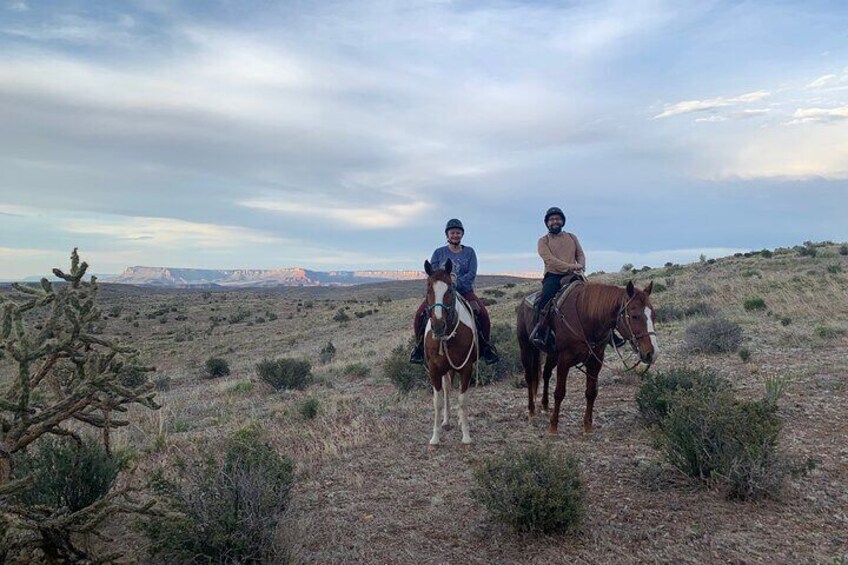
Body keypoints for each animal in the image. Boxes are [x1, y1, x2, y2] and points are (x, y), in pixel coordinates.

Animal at [422, 256, 476, 446]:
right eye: (428, 288)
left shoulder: (466, 367)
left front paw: (466, 435)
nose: (438, 326)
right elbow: (437, 401)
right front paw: (435, 437)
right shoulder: (434, 369)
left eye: (451, 289)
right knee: (446, 389)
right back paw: (446, 420)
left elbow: (463, 399)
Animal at [512, 280, 660, 432]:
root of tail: (524, 302)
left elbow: (591, 392)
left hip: (552, 355)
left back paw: (545, 405)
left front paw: (587, 426)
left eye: (653, 315)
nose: (652, 353)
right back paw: (531, 411)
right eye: (635, 315)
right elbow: (559, 392)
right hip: (526, 349)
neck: (587, 318)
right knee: (530, 377)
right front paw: (553, 427)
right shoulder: (564, 360)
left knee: (546, 373)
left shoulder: (595, 360)